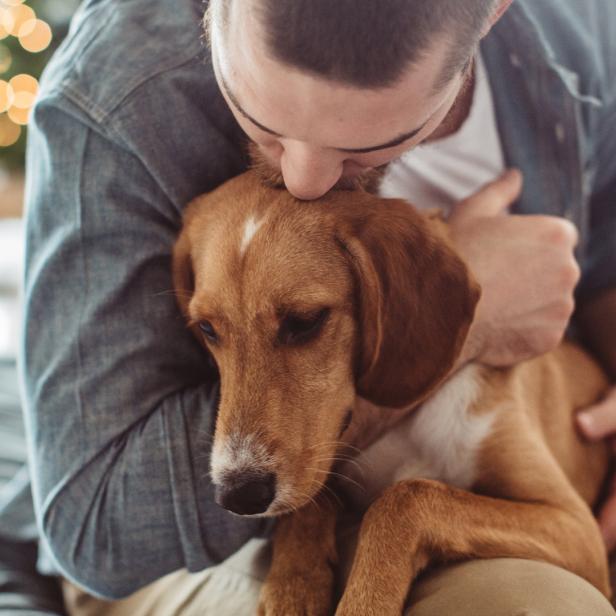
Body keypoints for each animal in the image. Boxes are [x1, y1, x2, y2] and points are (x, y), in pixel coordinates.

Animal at [173, 170, 612, 616]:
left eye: (305, 321)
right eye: (207, 328)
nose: (238, 496)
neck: (409, 423)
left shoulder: (574, 524)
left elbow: (406, 497)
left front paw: (364, 600)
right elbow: (311, 501)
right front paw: (293, 587)